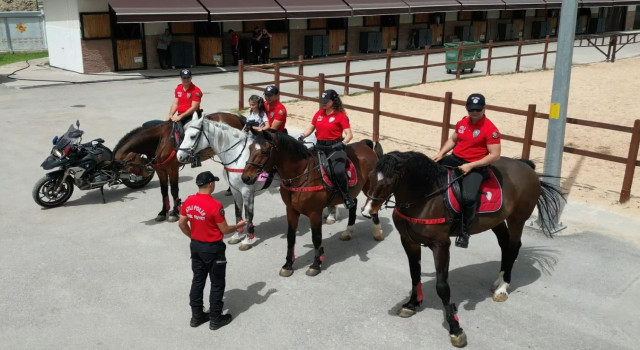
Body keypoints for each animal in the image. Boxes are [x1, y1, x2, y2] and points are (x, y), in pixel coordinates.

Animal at [115, 112, 245, 221]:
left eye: (127, 165)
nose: (147, 172)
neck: (160, 141)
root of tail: (236, 116)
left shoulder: (173, 169)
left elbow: (173, 190)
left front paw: (174, 212)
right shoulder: (160, 170)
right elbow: (163, 191)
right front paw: (163, 211)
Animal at [176, 119, 264, 250]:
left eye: (192, 136)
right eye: (184, 134)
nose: (179, 156)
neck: (238, 156)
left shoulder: (247, 192)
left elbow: (249, 216)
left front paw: (247, 240)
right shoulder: (235, 190)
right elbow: (238, 212)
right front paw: (237, 236)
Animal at [239, 130, 380, 278]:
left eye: (265, 152)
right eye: (250, 148)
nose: (246, 177)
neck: (301, 175)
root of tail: (364, 144)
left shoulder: (315, 213)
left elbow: (316, 238)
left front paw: (315, 265)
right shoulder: (291, 210)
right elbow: (290, 237)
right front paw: (288, 265)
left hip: (369, 188)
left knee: (374, 205)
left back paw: (378, 232)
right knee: (354, 203)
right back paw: (348, 231)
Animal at [362, 150, 564, 348]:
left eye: (389, 182)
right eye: (370, 176)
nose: (367, 211)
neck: (426, 197)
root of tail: (525, 166)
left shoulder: (441, 245)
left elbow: (442, 287)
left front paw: (455, 328)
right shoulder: (408, 241)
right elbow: (414, 274)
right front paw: (412, 303)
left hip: (517, 219)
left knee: (513, 247)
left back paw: (502, 288)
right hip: (496, 220)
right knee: (505, 245)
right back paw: (498, 281)